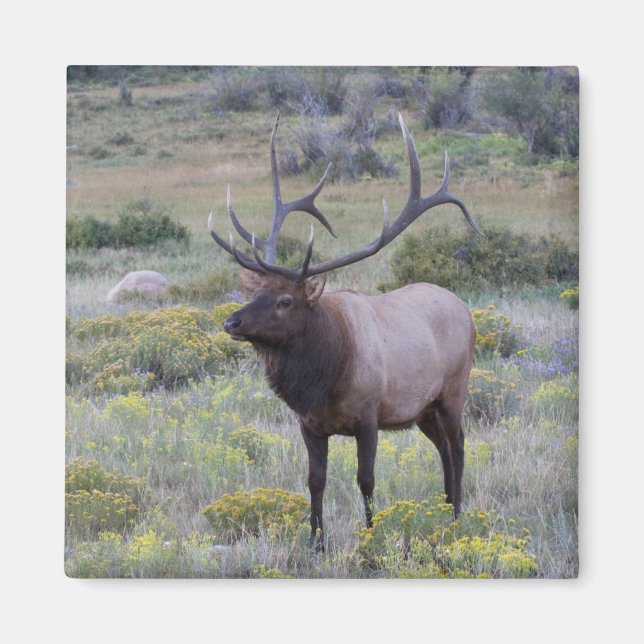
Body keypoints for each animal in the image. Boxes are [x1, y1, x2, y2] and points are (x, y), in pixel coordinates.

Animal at [207, 113, 482, 550]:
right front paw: (316, 542)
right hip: (422, 408)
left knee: (458, 445)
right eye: (257, 291)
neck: (323, 378)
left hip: (455, 388)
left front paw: (369, 537)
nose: (231, 322)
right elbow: (315, 480)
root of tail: (466, 311)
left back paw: (456, 513)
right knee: (442, 447)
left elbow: (365, 480)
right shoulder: (309, 424)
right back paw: (443, 508)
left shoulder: (369, 416)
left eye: (285, 300)